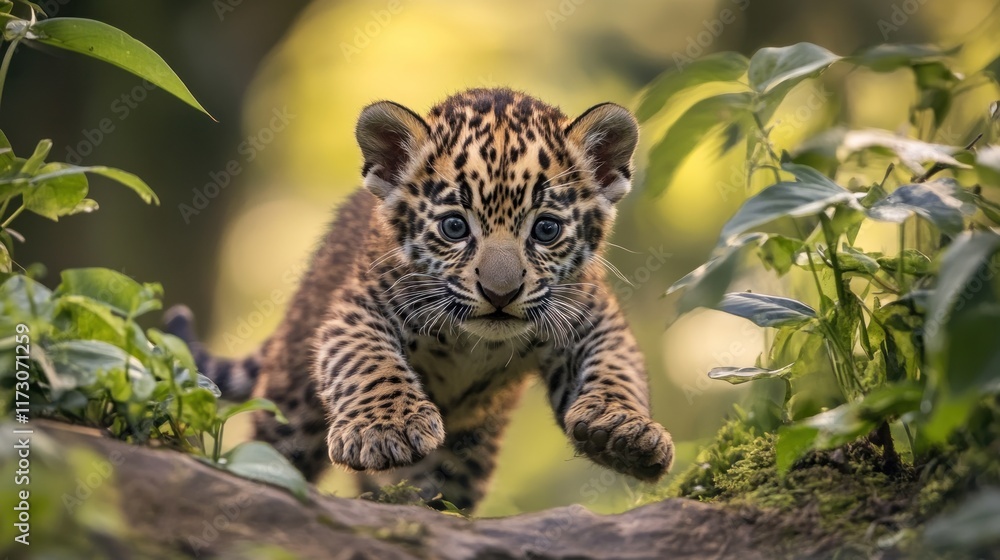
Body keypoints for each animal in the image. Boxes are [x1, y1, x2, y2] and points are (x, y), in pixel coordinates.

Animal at [165, 88, 673, 510]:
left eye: (546, 229)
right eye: (454, 227)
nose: (501, 293)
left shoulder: (592, 314)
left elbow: (616, 368)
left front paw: (625, 430)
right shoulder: (360, 310)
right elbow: (367, 362)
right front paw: (385, 428)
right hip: (292, 394)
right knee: (277, 443)